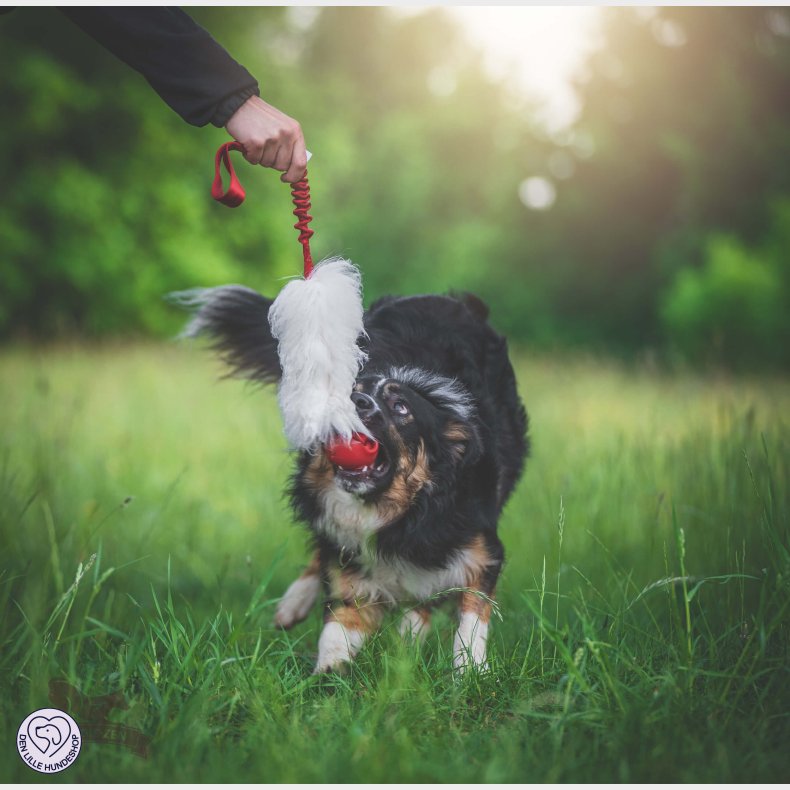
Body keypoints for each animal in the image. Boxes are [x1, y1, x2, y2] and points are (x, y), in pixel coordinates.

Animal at [183, 288, 528, 672]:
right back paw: (295, 604)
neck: (398, 514)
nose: (358, 401)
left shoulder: (481, 551)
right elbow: (336, 638)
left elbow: (471, 618)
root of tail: (454, 299)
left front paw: (470, 672)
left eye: (401, 407)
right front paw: (328, 675)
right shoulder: (353, 569)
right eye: (349, 392)